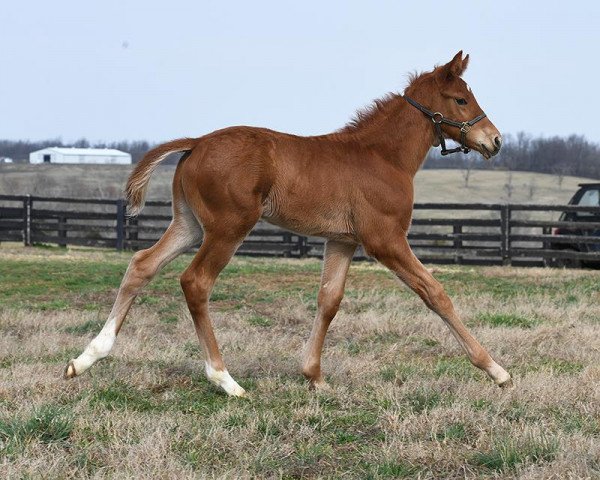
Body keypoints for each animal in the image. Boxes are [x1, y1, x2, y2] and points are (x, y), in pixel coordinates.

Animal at [67, 52, 516, 396]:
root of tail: (196, 143)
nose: (495, 141)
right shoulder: (385, 239)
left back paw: (86, 358)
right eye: (461, 99)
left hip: (189, 225)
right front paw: (496, 371)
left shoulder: (342, 241)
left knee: (142, 264)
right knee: (196, 282)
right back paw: (226, 380)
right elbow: (434, 293)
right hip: (228, 229)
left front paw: (314, 377)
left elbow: (329, 300)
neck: (383, 156)